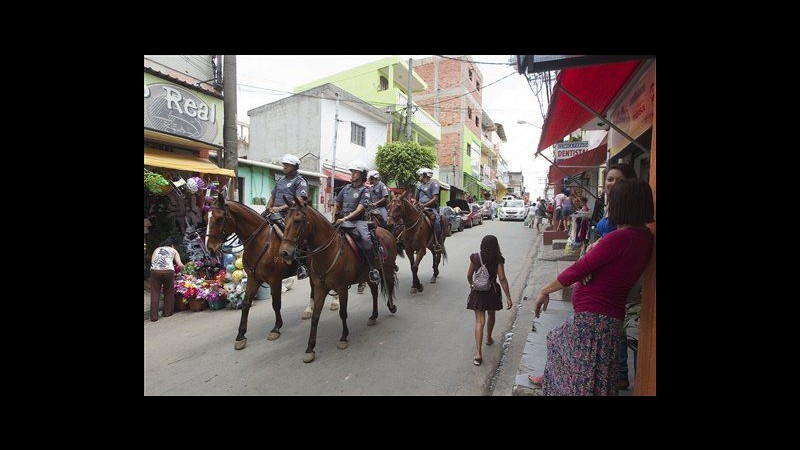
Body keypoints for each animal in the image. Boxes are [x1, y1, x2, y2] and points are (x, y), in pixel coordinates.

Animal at [206, 197, 312, 352]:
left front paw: (276, 328)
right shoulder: (253, 279)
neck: (260, 241)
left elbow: (276, 303)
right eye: (207, 218)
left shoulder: (275, 280)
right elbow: (246, 304)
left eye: (219, 218)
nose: (210, 248)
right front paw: (240, 336)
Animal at [280, 195, 398, 364]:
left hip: (387, 270)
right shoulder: (319, 288)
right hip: (368, 275)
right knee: (375, 292)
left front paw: (343, 338)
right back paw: (373, 316)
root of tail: (387, 233)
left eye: (297, 220)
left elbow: (343, 313)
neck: (328, 251)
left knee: (388, 285)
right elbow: (315, 317)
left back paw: (392, 307)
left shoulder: (342, 288)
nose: (284, 252)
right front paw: (310, 348)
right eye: (285, 220)